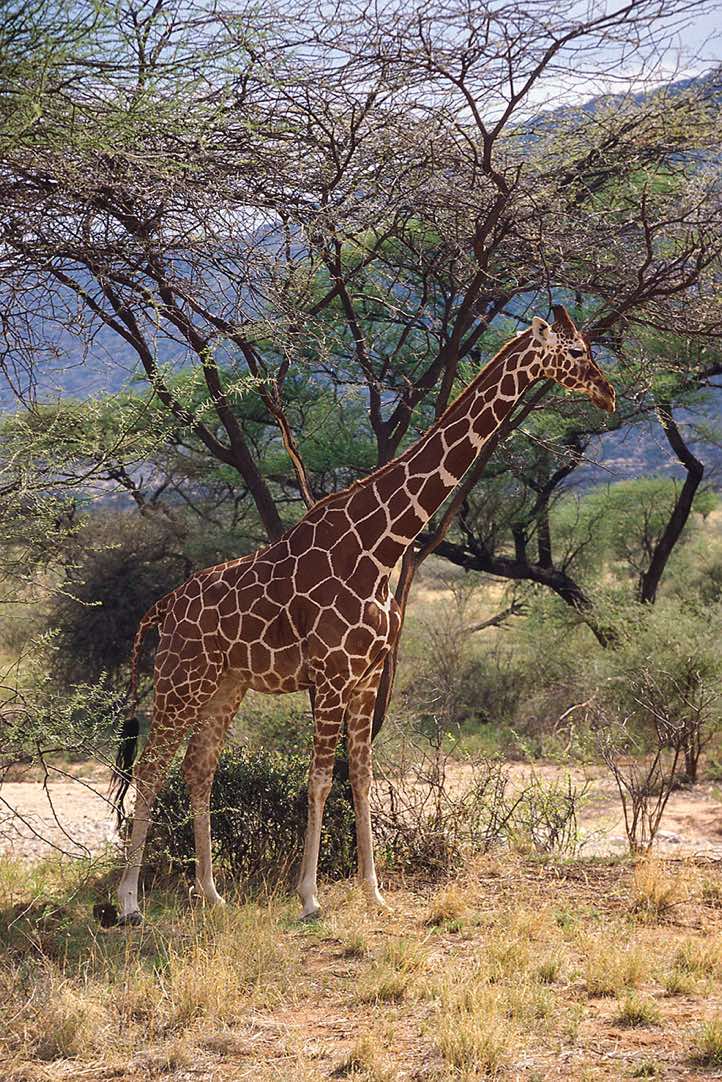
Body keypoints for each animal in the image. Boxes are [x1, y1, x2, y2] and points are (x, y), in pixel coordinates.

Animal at [107, 304, 615, 926]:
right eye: (577, 352)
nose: (608, 393)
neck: (381, 545)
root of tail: (163, 607)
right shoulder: (330, 673)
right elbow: (321, 781)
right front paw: (309, 897)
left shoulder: (368, 673)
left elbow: (364, 777)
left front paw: (374, 892)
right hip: (183, 677)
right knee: (150, 770)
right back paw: (129, 903)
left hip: (227, 683)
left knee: (197, 770)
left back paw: (211, 893)